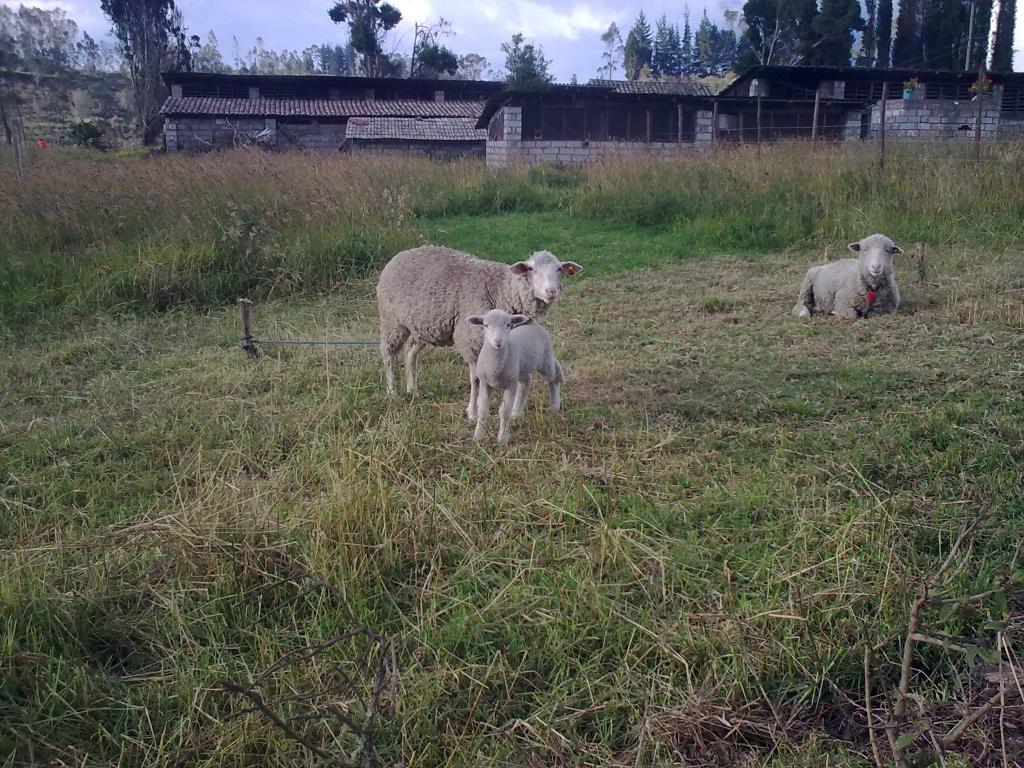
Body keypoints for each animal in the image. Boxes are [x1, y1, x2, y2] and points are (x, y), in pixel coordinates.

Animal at [376, 244, 585, 421]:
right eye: (531, 269)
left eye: (559, 270)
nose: (551, 292)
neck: (502, 290)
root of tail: (402, 253)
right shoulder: (471, 341)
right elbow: (476, 379)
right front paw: (473, 413)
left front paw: (511, 412)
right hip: (392, 320)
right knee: (388, 354)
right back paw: (392, 392)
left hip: (423, 326)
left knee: (410, 354)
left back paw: (412, 389)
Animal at [468, 309, 565, 448]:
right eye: (486, 325)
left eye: (508, 324)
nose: (498, 342)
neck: (495, 367)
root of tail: (533, 324)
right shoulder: (485, 383)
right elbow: (482, 410)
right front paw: (478, 437)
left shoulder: (510, 384)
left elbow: (504, 412)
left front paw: (502, 440)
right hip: (522, 368)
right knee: (525, 384)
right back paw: (516, 413)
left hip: (545, 359)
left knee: (554, 377)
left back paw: (554, 406)